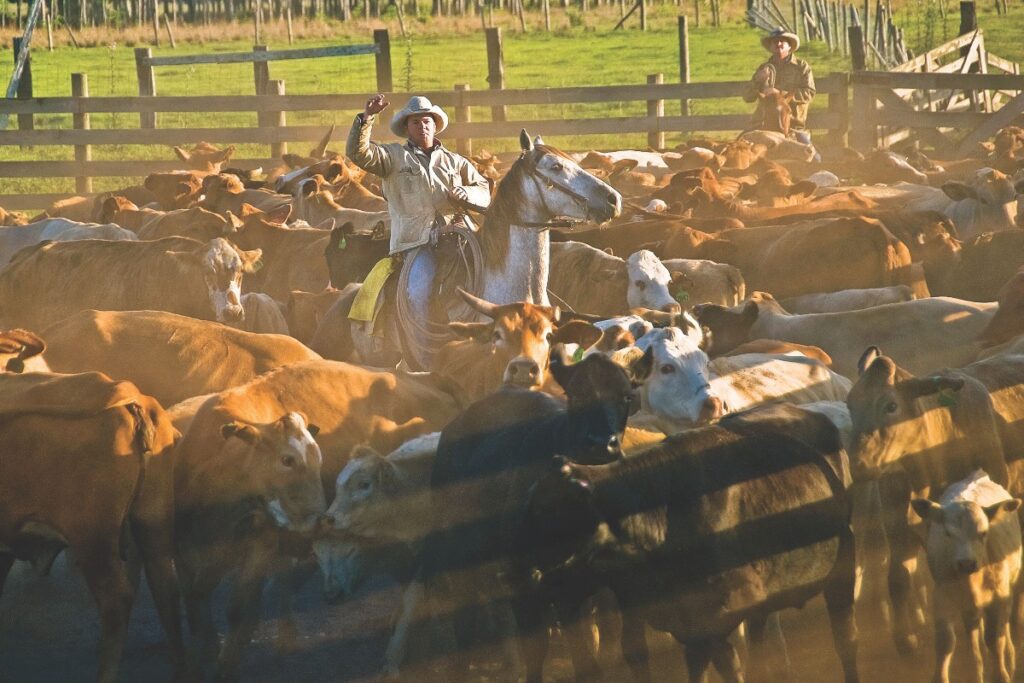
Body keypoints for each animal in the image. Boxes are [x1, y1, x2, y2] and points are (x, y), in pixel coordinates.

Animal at [401, 350, 655, 679]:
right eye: (575, 395)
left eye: (626, 395)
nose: (601, 443)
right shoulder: (548, 588)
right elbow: (571, 656)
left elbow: (628, 649)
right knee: (469, 622)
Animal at [516, 403, 860, 679]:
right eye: (530, 511)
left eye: (554, 515)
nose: (530, 576)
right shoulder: (673, 617)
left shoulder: (719, 613)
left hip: (842, 568)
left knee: (845, 641)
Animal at [917, 473, 1019, 683]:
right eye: (948, 533)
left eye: (984, 533)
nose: (966, 563)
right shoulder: (942, 599)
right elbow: (945, 642)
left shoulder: (999, 599)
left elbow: (995, 639)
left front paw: (1001, 674)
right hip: (967, 609)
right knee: (973, 637)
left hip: (1008, 591)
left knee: (1003, 629)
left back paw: (1009, 657)